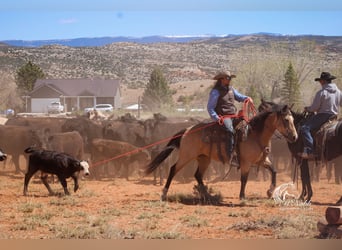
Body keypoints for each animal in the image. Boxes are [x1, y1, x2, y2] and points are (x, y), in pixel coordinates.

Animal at [144, 103, 296, 201]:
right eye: (286, 120)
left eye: (294, 119)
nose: (295, 137)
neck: (255, 134)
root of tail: (187, 130)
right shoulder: (246, 162)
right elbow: (244, 179)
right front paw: (242, 196)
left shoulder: (262, 160)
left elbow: (274, 171)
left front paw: (270, 191)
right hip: (186, 156)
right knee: (173, 169)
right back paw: (164, 194)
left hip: (204, 158)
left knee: (198, 175)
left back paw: (207, 195)